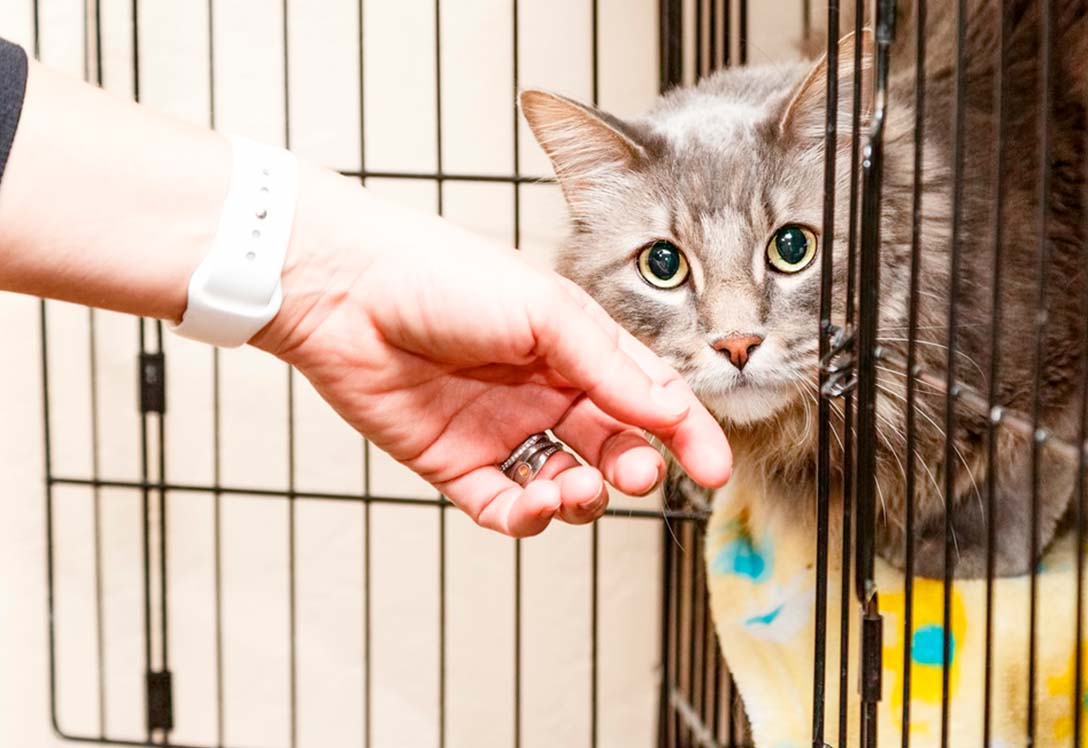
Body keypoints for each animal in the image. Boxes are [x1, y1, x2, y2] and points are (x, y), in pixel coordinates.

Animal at [522, 0, 1088, 578]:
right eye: (663, 264)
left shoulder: (1055, 364)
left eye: (793, 247)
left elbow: (1024, 472)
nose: (737, 345)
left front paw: (963, 555)